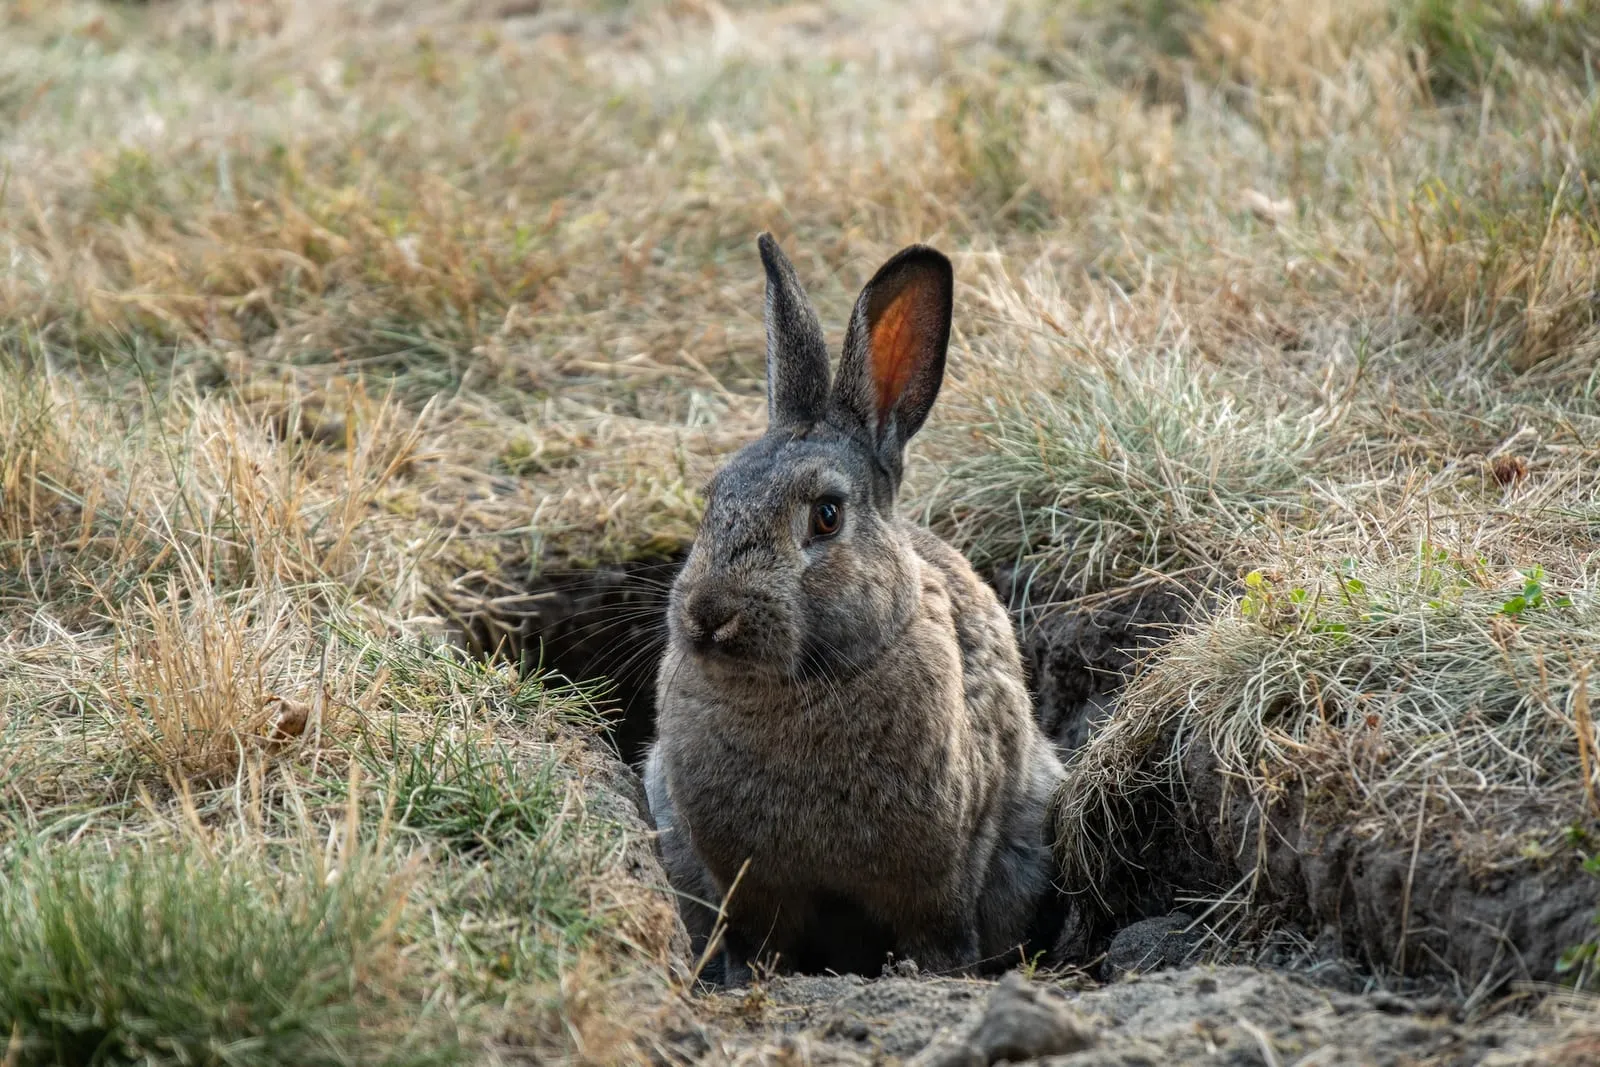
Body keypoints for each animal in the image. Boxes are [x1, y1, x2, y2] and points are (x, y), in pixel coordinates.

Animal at [644, 234, 1067, 985]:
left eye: (827, 515)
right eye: (713, 497)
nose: (708, 616)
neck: (802, 687)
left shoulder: (939, 871)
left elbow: (939, 929)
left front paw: (932, 974)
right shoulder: (744, 880)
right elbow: (759, 935)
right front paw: (749, 976)